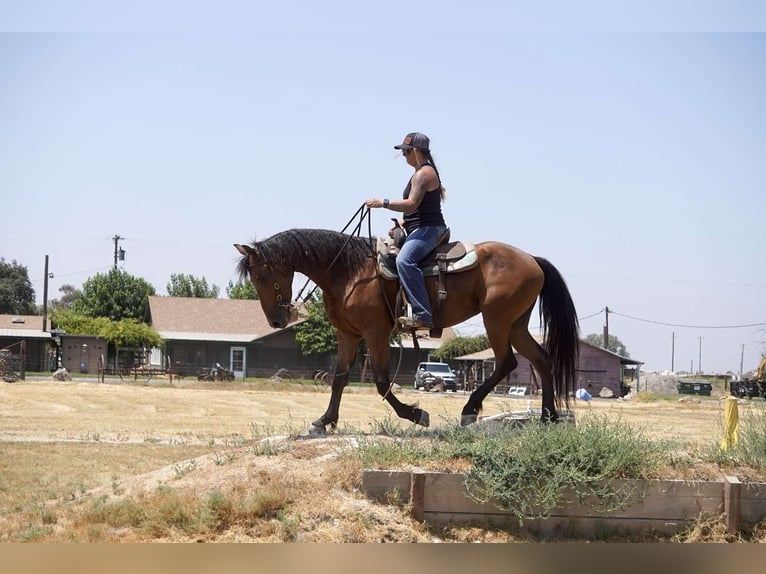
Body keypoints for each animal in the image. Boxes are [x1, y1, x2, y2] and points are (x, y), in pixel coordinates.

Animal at [235, 227, 579, 434]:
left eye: (262, 277)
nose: (276, 321)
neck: (350, 272)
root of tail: (532, 260)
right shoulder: (348, 334)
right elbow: (339, 378)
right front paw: (324, 421)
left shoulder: (375, 333)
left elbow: (381, 381)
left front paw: (416, 414)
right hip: (516, 325)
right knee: (542, 360)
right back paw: (548, 418)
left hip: (496, 320)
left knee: (507, 362)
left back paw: (470, 410)